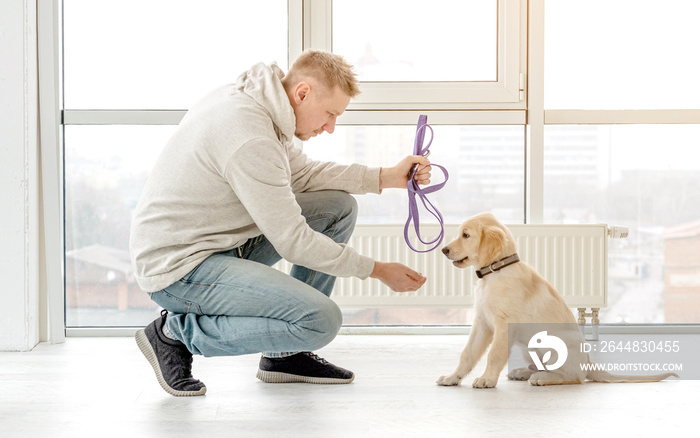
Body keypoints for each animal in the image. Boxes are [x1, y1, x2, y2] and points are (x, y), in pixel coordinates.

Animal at [438, 212, 680, 386]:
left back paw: (542, 379)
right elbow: (467, 354)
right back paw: (523, 372)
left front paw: (487, 379)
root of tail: (589, 363)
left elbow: (494, 354)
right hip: (529, 349)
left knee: (573, 376)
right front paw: (452, 377)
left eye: (466, 235)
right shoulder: (482, 323)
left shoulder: (504, 324)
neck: (495, 271)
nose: (443, 250)